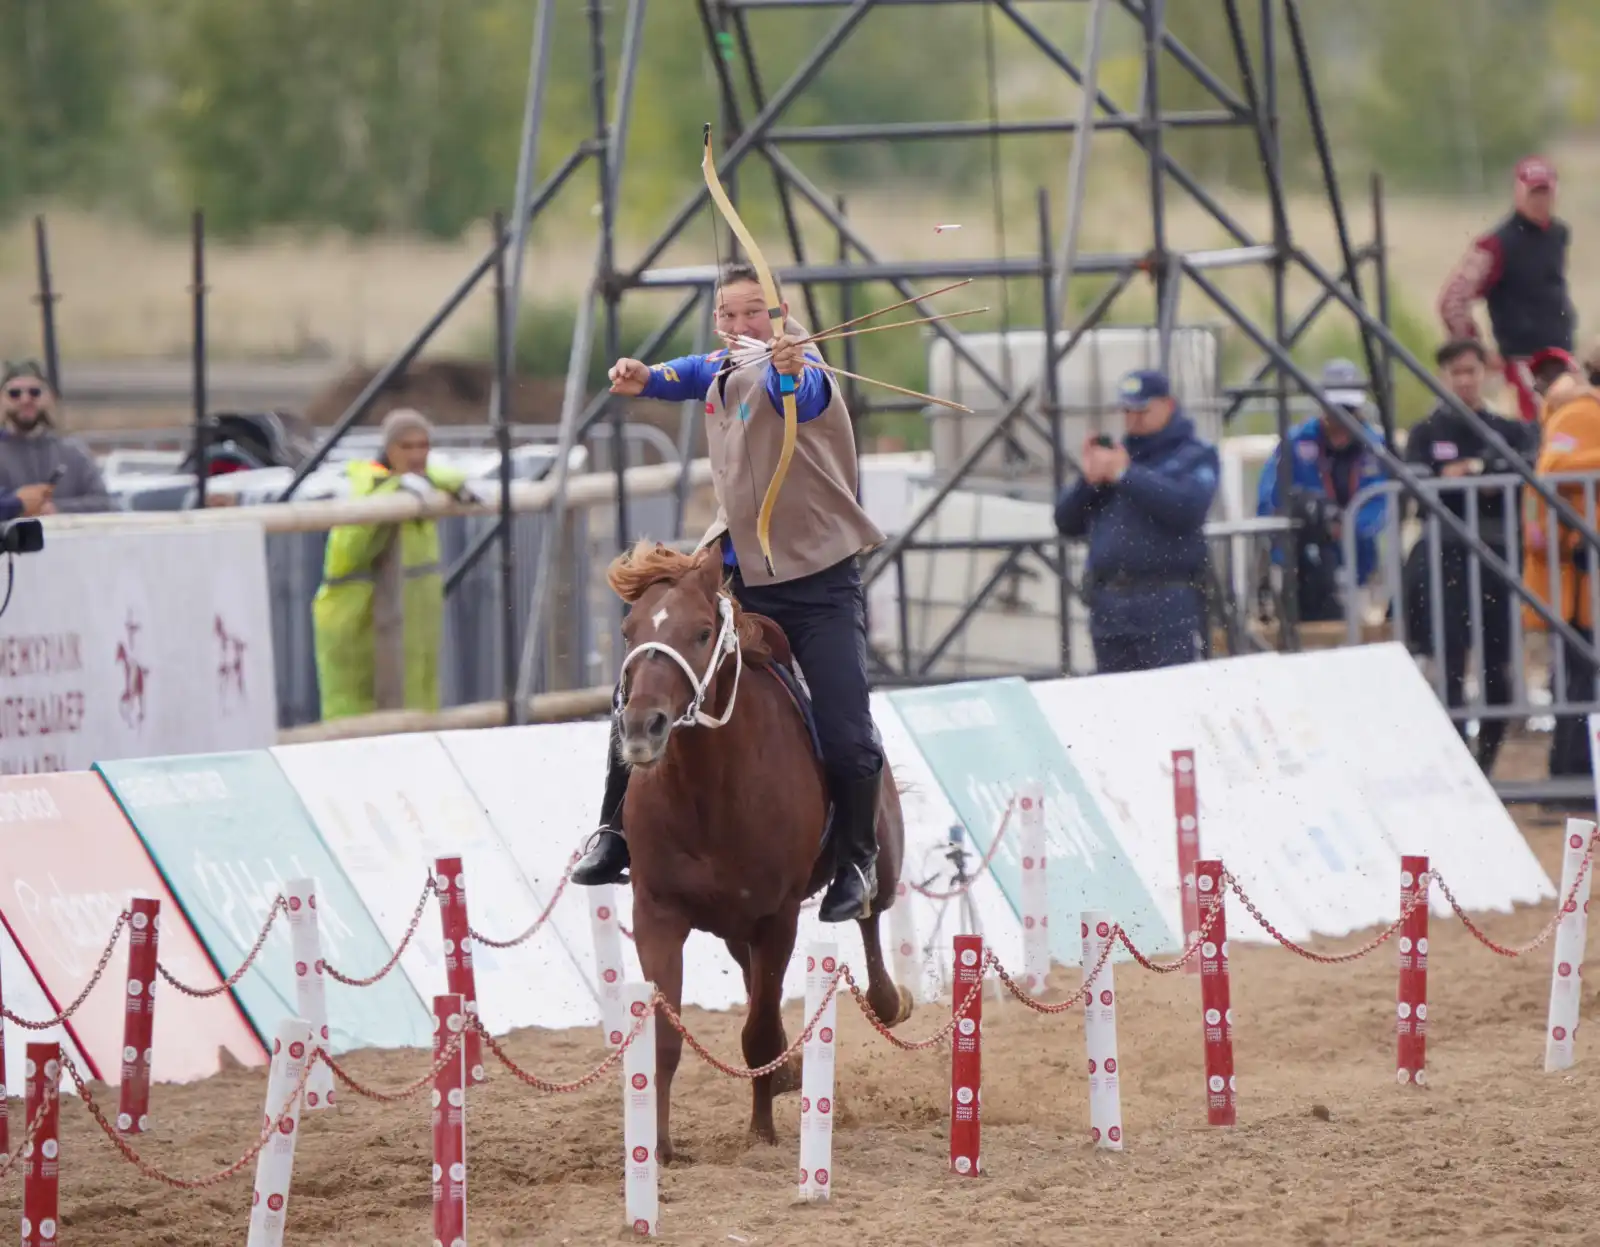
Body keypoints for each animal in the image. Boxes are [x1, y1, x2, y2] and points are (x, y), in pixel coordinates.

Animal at [611, 541, 915, 1165]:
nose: (642, 726)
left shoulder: (778, 918)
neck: (708, 792)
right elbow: (666, 1038)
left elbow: (760, 1033)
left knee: (871, 915)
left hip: (882, 860)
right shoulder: (656, 914)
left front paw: (762, 1134)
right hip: (732, 925)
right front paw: (658, 1147)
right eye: (629, 631)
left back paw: (886, 999)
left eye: (702, 632)